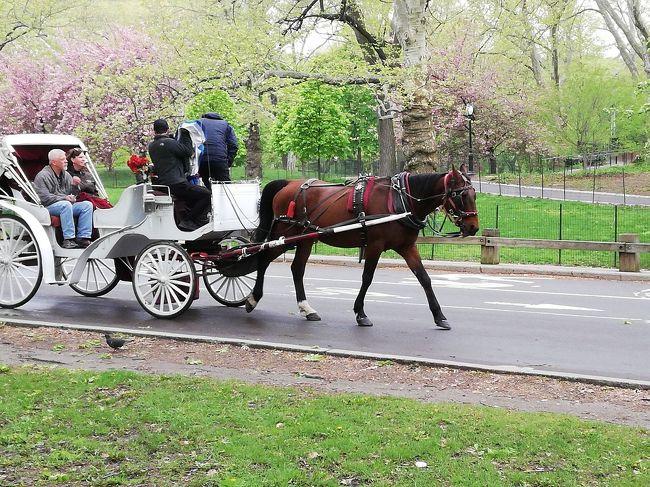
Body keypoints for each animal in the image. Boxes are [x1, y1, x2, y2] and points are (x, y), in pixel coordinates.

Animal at [246, 168, 478, 332]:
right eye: (461, 195)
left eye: (474, 194)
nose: (474, 227)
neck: (401, 201)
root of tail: (288, 184)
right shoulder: (375, 245)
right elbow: (367, 278)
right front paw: (360, 313)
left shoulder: (407, 247)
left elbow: (424, 278)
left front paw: (439, 316)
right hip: (284, 236)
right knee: (263, 258)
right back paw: (253, 298)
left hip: (304, 240)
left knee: (297, 269)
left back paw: (306, 309)